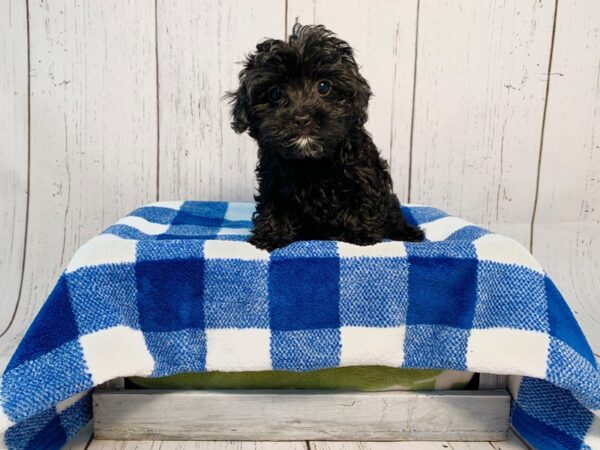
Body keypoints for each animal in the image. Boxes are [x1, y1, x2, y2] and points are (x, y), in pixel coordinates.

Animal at [227, 24, 424, 251]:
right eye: (275, 93)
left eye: (324, 86)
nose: (302, 119)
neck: (311, 161)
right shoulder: (273, 178)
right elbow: (273, 203)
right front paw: (271, 234)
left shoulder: (364, 174)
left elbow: (364, 198)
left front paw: (362, 234)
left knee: (392, 212)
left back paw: (408, 232)